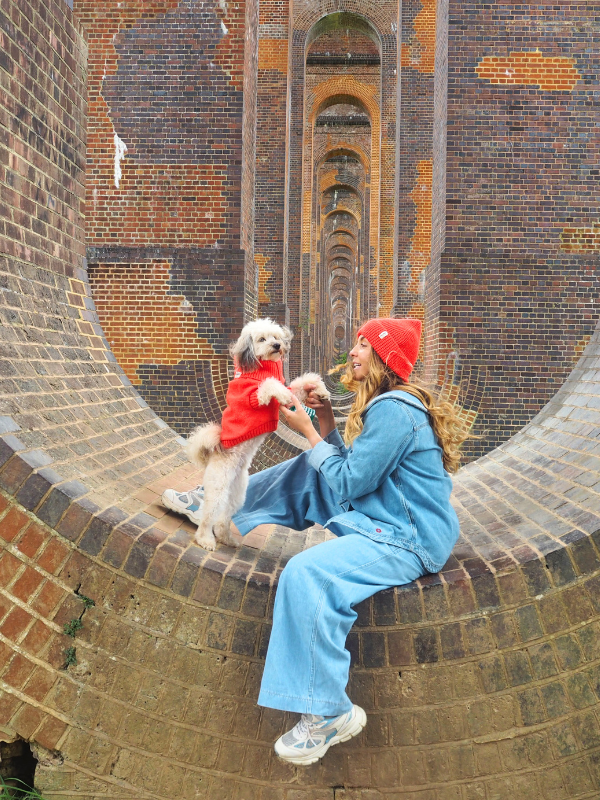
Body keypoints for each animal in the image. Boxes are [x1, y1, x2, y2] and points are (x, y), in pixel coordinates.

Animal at [186, 318, 330, 552]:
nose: (277, 346)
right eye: (262, 339)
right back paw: (206, 540)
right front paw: (283, 395)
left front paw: (320, 390)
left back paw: (227, 538)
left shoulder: (291, 386)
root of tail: (215, 451)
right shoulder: (256, 397)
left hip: (238, 493)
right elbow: (270, 385)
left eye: (276, 337)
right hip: (218, 487)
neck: (261, 367)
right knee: (209, 516)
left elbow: (303, 382)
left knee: (223, 518)